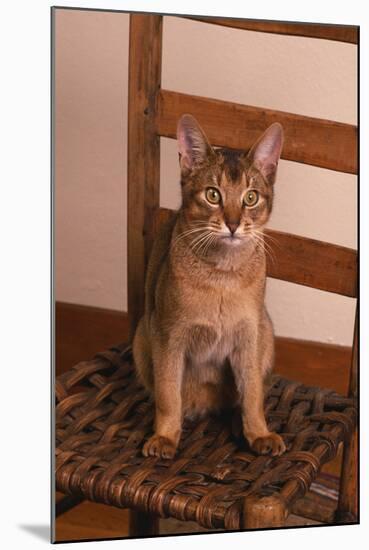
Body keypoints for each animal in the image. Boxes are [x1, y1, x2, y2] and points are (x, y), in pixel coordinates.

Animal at [133, 115, 284, 462]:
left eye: (251, 197)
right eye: (213, 195)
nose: (233, 224)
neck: (222, 275)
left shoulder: (249, 335)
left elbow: (253, 392)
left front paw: (259, 433)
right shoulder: (168, 335)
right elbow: (168, 393)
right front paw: (165, 436)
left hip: (267, 329)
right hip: (141, 334)